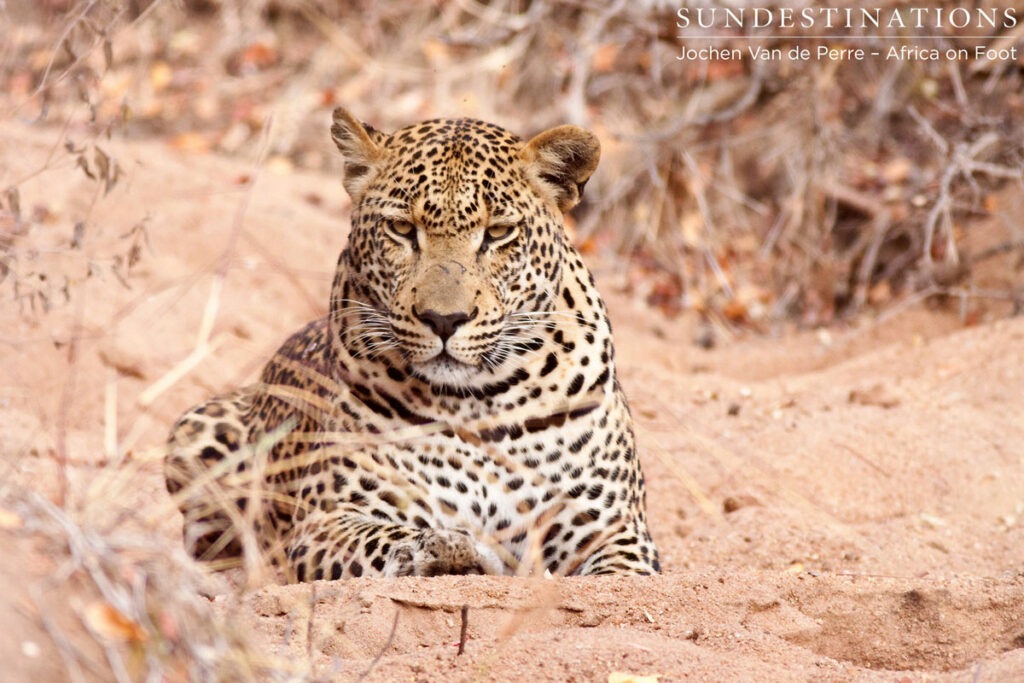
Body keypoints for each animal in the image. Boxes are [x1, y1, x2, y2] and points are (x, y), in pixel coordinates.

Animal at [164, 107, 661, 581]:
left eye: (499, 232)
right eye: (402, 229)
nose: (444, 320)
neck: (477, 402)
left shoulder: (613, 532)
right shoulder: (327, 521)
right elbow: (389, 540)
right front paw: (451, 551)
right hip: (193, 428)